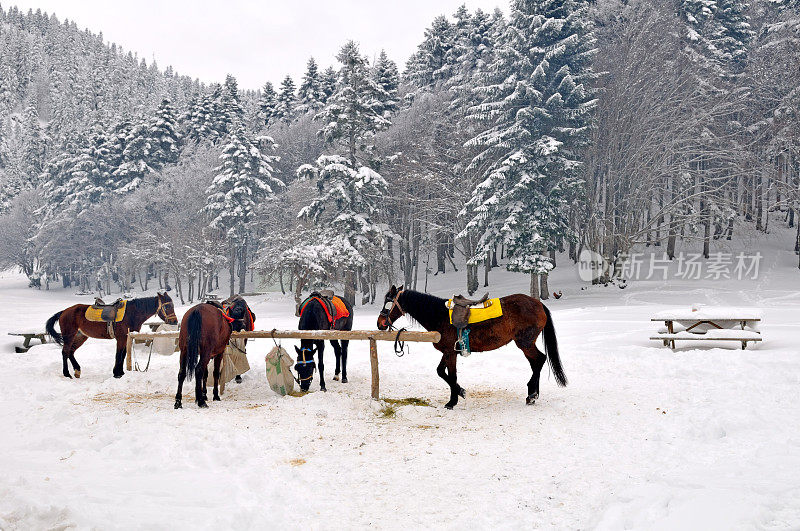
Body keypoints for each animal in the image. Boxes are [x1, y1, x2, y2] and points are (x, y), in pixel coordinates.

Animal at [44, 294, 177, 380]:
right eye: (167, 306)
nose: (174, 321)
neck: (131, 314)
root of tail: (63, 312)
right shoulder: (121, 338)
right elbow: (118, 355)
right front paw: (117, 373)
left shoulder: (127, 338)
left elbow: (123, 355)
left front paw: (120, 372)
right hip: (69, 335)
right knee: (65, 352)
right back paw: (67, 374)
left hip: (81, 336)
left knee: (71, 352)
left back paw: (77, 370)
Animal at [378, 284, 564, 410]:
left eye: (388, 301)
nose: (380, 323)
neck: (439, 315)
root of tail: (537, 303)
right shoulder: (448, 352)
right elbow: (441, 372)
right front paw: (460, 391)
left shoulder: (450, 353)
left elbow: (451, 375)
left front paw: (452, 401)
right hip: (526, 344)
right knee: (536, 363)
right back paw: (532, 394)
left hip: (525, 343)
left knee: (539, 360)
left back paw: (532, 395)